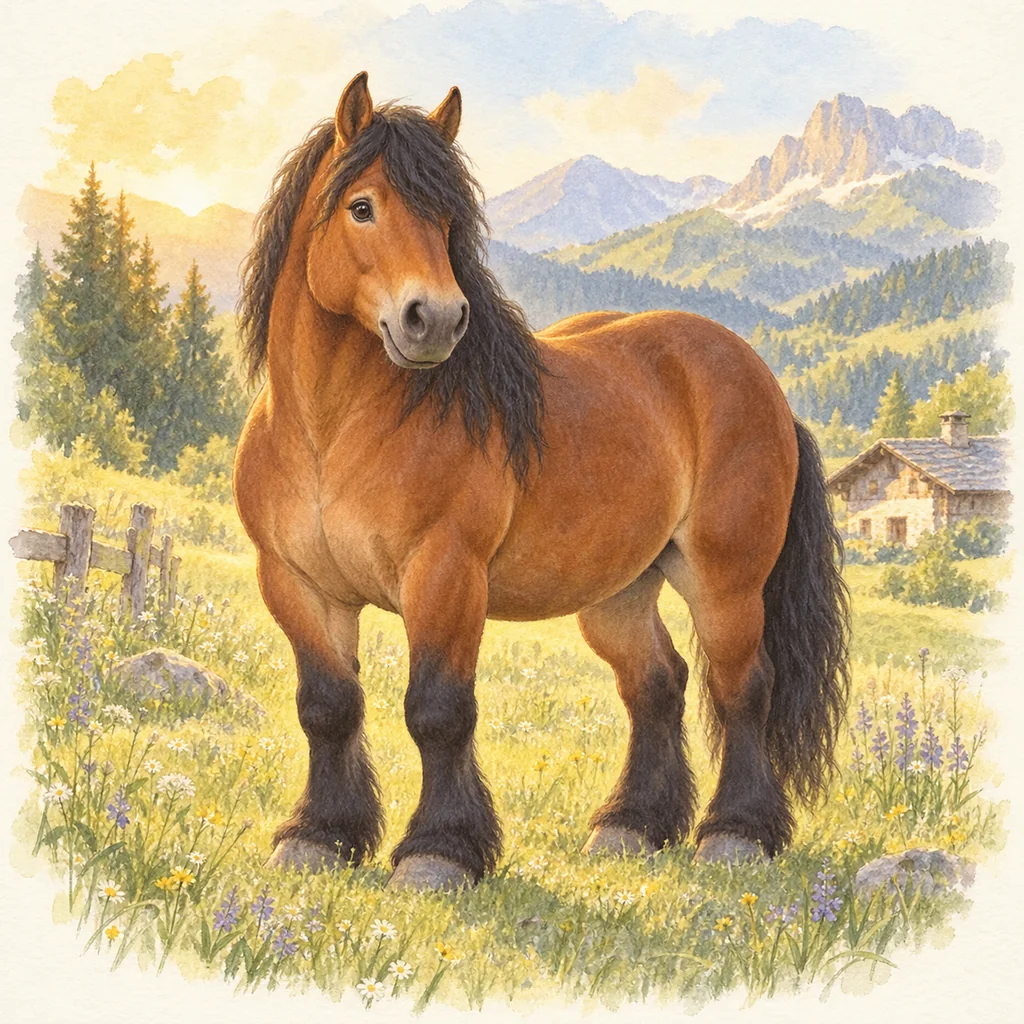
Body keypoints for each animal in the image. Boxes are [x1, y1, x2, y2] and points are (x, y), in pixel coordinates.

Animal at [233, 72, 850, 890]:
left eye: (447, 218)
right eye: (362, 207)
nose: (436, 319)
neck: (328, 433)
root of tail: (766, 386)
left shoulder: (445, 576)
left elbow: (437, 711)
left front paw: (439, 850)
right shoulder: (298, 584)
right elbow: (328, 706)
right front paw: (319, 837)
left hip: (725, 581)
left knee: (742, 685)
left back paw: (737, 834)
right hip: (620, 591)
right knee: (657, 683)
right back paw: (631, 825)